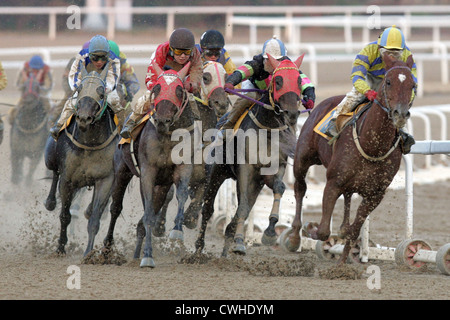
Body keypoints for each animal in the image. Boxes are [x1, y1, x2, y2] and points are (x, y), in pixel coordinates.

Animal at [42, 63, 118, 258]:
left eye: (101, 93)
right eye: (79, 89)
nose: (83, 117)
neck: (89, 144)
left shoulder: (105, 179)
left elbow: (94, 219)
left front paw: (89, 253)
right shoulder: (67, 179)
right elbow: (65, 215)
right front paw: (60, 247)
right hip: (50, 158)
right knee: (54, 174)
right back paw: (50, 202)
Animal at [106, 61, 196, 266]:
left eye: (179, 90)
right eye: (156, 88)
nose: (162, 120)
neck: (168, 136)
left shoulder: (183, 168)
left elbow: (182, 195)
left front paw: (177, 231)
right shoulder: (148, 172)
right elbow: (147, 214)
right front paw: (148, 256)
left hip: (161, 187)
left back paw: (135, 255)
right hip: (122, 171)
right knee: (115, 208)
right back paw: (105, 249)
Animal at [195, 53, 308, 256]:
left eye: (298, 80)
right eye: (278, 81)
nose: (292, 113)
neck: (268, 130)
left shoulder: (272, 170)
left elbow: (278, 188)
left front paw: (269, 232)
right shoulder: (245, 169)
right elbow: (243, 206)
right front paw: (240, 242)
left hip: (255, 183)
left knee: (238, 213)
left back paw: (225, 251)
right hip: (217, 173)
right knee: (208, 209)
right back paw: (199, 249)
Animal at [286, 53, 416, 264]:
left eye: (413, 85)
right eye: (388, 81)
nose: (400, 113)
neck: (373, 145)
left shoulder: (375, 194)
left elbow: (353, 231)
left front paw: (342, 263)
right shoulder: (333, 183)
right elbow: (323, 231)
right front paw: (311, 229)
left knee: (347, 198)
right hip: (302, 158)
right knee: (300, 188)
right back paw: (295, 237)